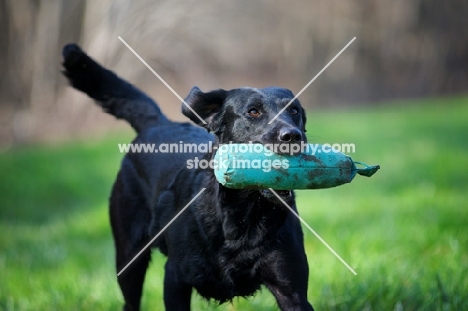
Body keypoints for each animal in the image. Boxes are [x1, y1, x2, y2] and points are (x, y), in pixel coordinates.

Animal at [60, 42, 312, 310]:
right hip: (128, 256)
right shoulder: (175, 279)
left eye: (294, 111)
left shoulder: (292, 290)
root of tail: (158, 122)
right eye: (253, 112)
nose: (292, 136)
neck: (244, 215)